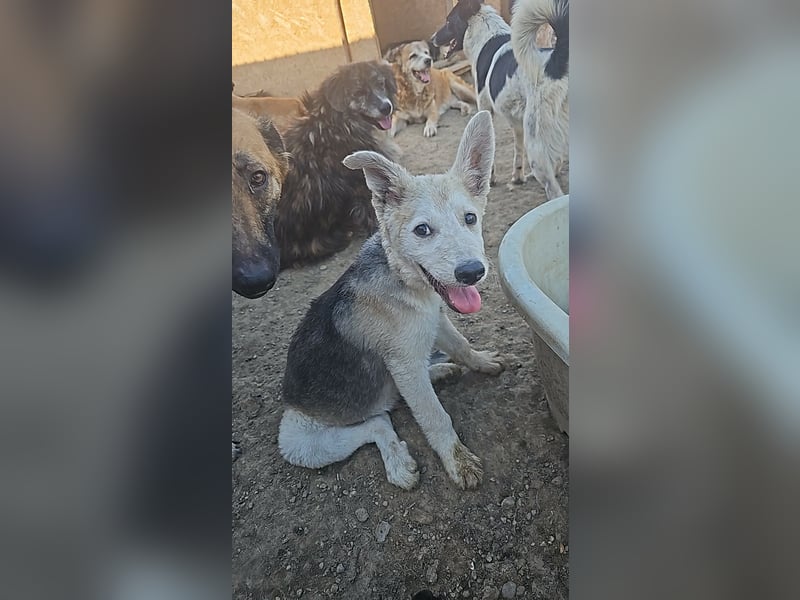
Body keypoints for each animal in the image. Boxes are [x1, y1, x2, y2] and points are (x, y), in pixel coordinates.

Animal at [278, 112, 504, 489]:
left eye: (470, 218)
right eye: (422, 230)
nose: (472, 272)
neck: (404, 282)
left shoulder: (436, 322)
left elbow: (461, 345)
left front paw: (482, 361)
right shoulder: (404, 362)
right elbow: (434, 417)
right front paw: (457, 462)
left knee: (390, 404)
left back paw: (439, 372)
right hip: (299, 441)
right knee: (377, 423)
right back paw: (399, 464)